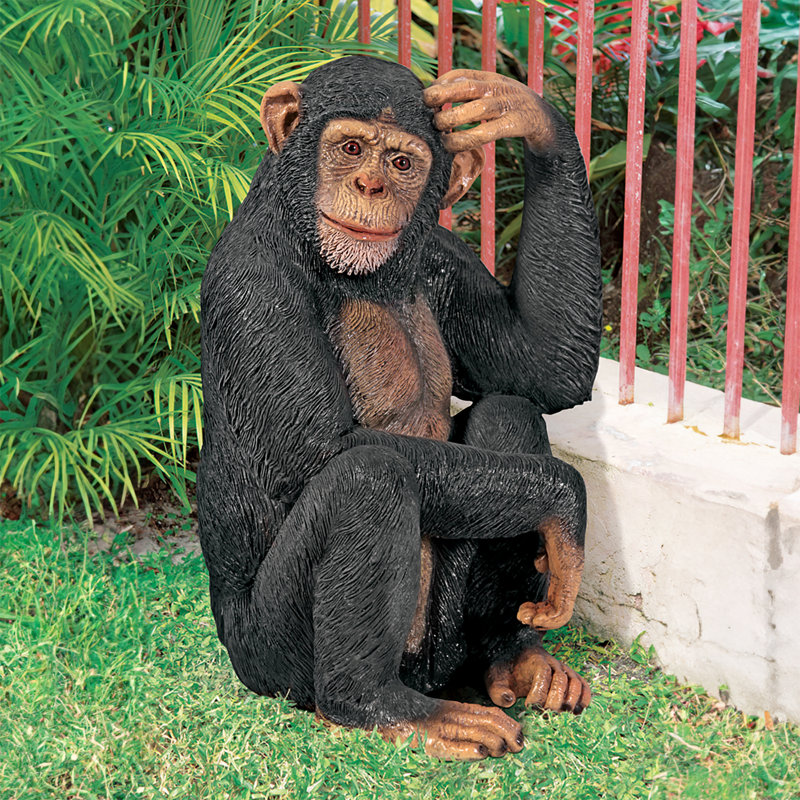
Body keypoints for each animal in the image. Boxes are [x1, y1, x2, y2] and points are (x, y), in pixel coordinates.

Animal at [197, 56, 602, 761]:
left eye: (403, 162)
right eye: (351, 149)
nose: (370, 183)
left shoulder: (445, 258)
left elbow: (547, 368)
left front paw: (523, 112)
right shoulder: (253, 283)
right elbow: (322, 451)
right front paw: (565, 498)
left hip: (441, 650)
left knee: (509, 409)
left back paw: (514, 656)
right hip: (271, 661)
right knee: (370, 479)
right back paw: (381, 708)